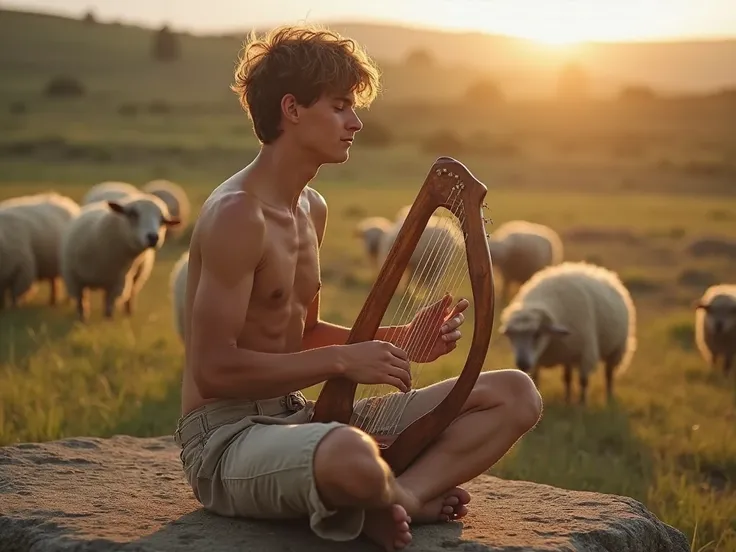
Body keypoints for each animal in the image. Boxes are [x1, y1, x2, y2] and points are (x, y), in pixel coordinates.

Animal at [60, 194, 180, 324]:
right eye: (133, 214)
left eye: (163, 221)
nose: (153, 237)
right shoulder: (74, 280)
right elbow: (80, 304)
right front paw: (82, 321)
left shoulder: (117, 284)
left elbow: (109, 307)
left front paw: (108, 323)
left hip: (137, 276)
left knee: (131, 293)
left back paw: (128, 312)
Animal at [500, 260, 640, 404]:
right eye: (511, 336)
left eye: (537, 334)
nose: (522, 363)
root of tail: (602, 271)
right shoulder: (543, 357)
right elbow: (537, 378)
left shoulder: (586, 353)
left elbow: (583, 381)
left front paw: (582, 404)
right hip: (568, 353)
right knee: (568, 377)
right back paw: (567, 399)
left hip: (617, 349)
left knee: (609, 375)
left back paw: (609, 396)